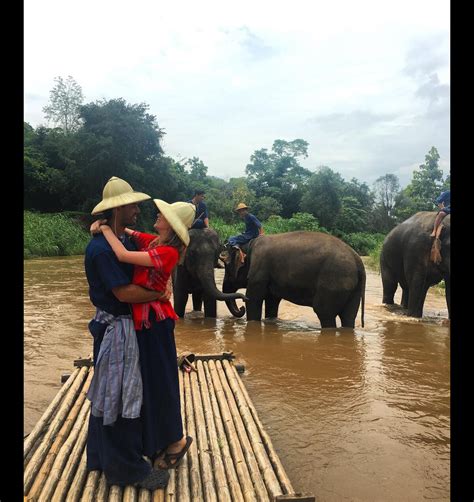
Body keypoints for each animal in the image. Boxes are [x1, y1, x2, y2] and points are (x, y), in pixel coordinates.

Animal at [220, 231, 364, 330]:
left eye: (226, 266)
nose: (241, 307)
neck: (250, 243)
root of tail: (358, 260)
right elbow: (272, 301)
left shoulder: (259, 271)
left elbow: (254, 299)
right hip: (353, 288)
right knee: (348, 316)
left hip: (333, 283)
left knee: (324, 312)